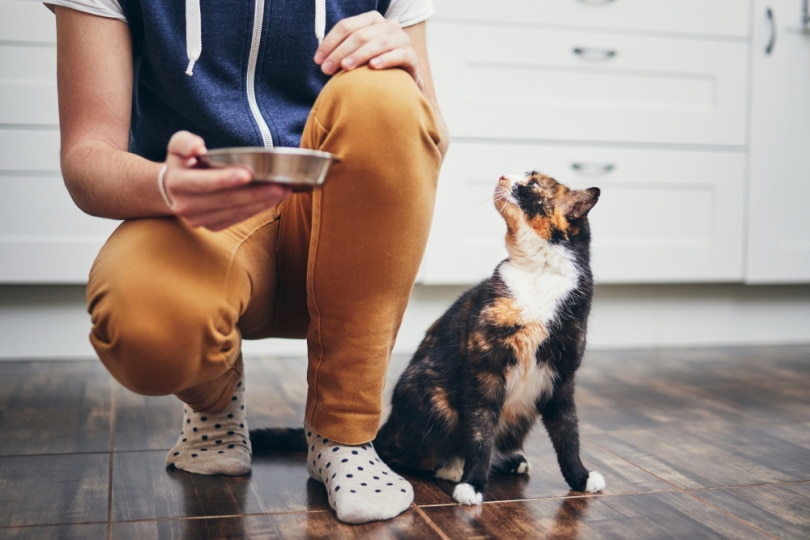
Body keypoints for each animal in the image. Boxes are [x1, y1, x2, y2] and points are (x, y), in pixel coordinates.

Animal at [372, 171, 600, 504]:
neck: (539, 271)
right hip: (434, 398)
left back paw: (511, 460)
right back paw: (453, 467)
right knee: (398, 453)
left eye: (532, 183)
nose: (504, 175)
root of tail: (389, 426)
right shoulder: (485, 370)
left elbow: (568, 433)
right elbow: (480, 431)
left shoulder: (560, 377)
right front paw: (473, 484)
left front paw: (580, 478)